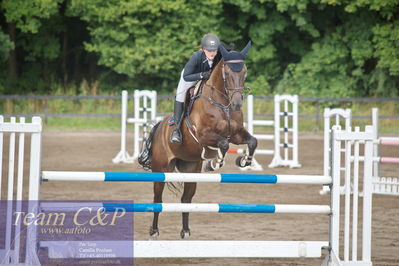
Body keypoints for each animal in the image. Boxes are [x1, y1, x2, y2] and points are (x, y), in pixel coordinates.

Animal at [139, 42, 258, 239]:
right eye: (227, 72)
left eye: (244, 72)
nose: (237, 104)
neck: (222, 104)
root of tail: (160, 126)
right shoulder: (204, 135)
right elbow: (223, 144)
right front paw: (215, 163)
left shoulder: (236, 134)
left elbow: (252, 141)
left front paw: (244, 161)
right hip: (161, 168)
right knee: (158, 198)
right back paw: (154, 230)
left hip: (191, 168)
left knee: (186, 198)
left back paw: (185, 231)